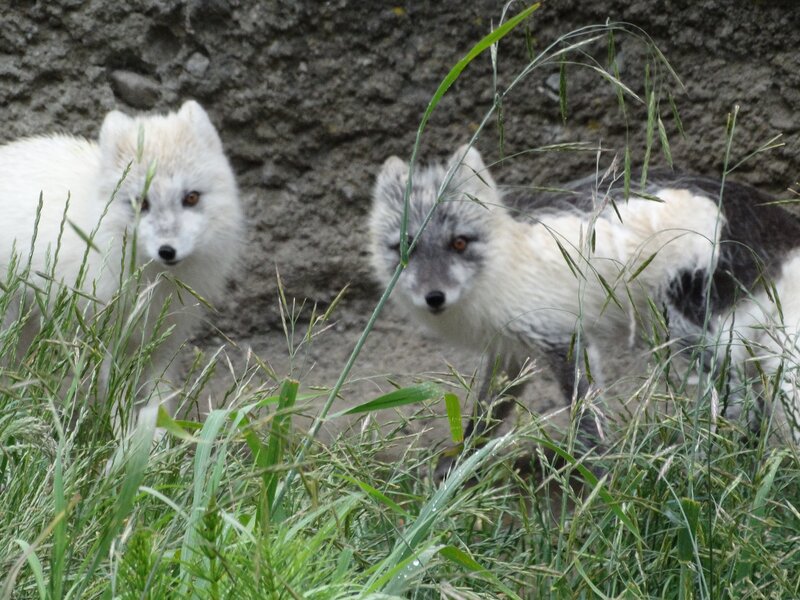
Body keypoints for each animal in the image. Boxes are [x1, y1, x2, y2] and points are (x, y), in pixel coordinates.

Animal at [0, 100, 243, 414]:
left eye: (191, 198)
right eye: (141, 203)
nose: (167, 250)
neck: (155, 285)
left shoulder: (165, 341)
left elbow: (158, 404)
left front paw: (157, 429)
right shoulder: (110, 340)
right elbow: (115, 401)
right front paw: (118, 427)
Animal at [369, 144, 800, 467]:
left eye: (459, 242)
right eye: (405, 247)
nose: (434, 297)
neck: (504, 258)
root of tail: (772, 216)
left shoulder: (565, 339)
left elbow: (587, 417)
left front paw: (597, 479)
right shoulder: (511, 353)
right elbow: (489, 412)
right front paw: (458, 465)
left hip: (688, 329)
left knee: (742, 398)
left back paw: (713, 456)